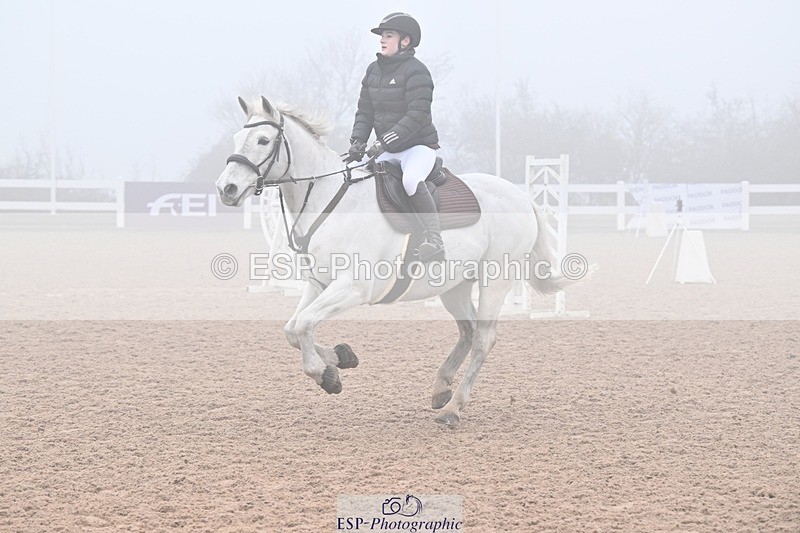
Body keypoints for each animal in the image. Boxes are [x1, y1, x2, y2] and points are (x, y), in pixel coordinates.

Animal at [216, 96, 575, 425]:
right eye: (236, 138)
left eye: (263, 140)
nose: (226, 188)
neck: (331, 200)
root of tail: (521, 196)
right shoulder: (319, 284)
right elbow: (293, 329)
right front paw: (341, 358)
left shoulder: (352, 288)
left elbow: (304, 324)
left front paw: (326, 374)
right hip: (455, 286)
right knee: (468, 330)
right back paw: (441, 388)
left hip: (495, 280)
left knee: (484, 339)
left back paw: (453, 408)